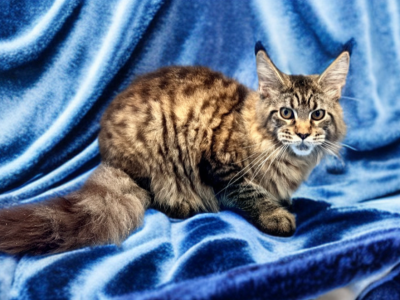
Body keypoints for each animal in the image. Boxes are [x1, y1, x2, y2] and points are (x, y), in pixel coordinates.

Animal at [0, 44, 348, 255]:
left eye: (317, 115)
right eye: (286, 113)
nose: (303, 134)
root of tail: (110, 158)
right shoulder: (219, 165)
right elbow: (251, 193)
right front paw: (277, 215)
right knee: (155, 197)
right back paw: (184, 204)